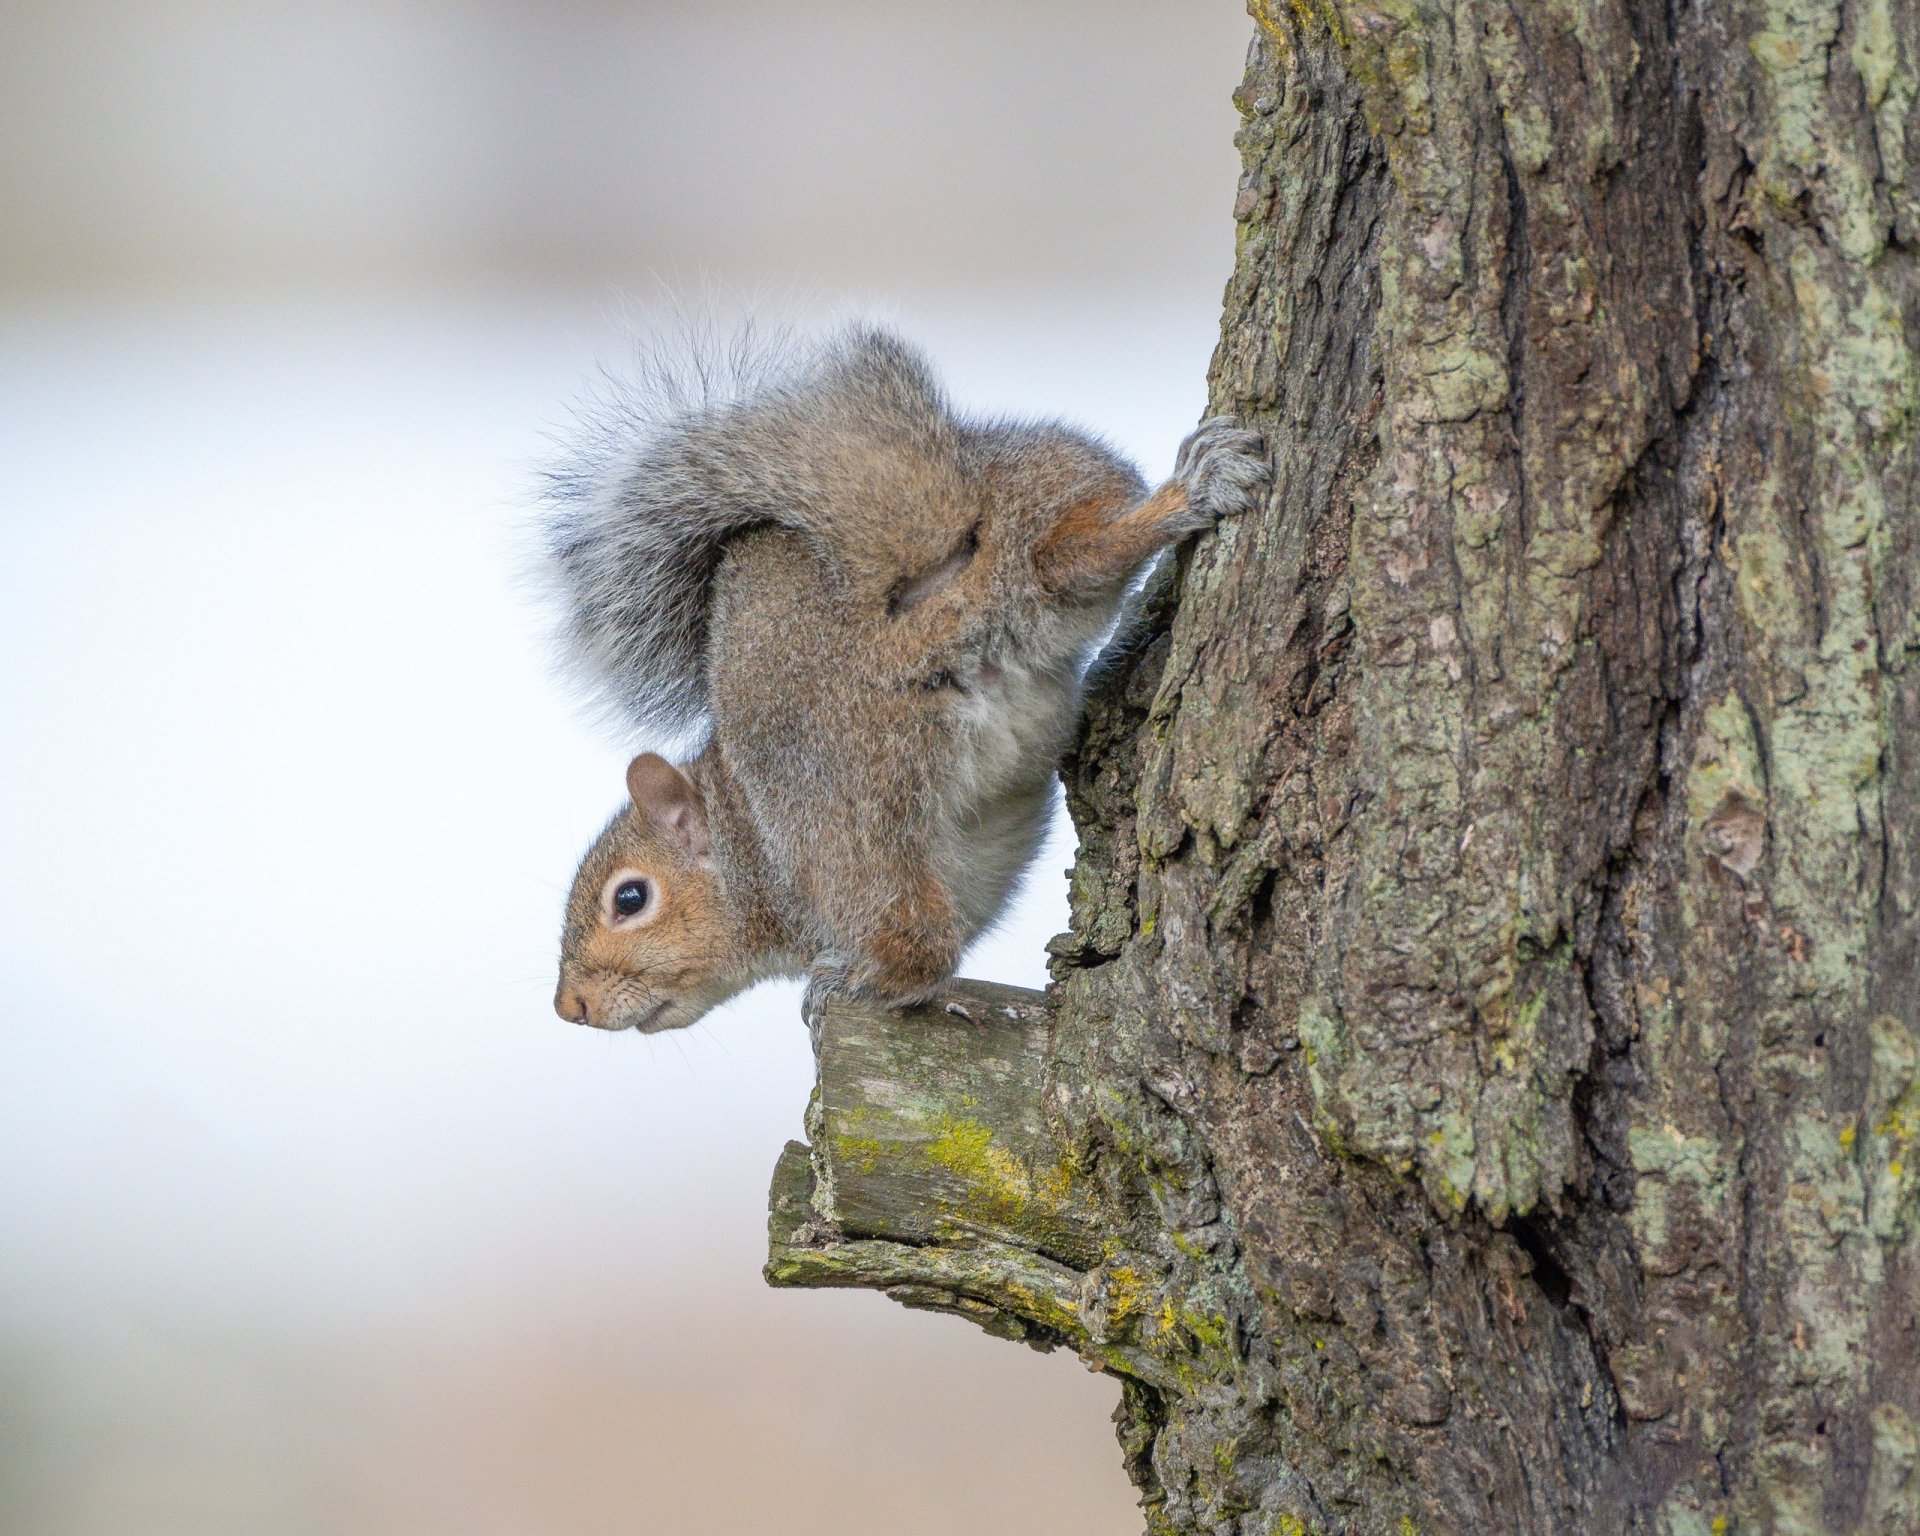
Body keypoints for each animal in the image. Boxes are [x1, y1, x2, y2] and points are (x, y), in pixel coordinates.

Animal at [541, 324, 1268, 1033]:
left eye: (629, 898)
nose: (569, 1007)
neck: (737, 838)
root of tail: (911, 629)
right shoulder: (974, 863)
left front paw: (848, 977)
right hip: (1043, 485)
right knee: (1074, 557)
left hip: (843, 800)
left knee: (903, 930)